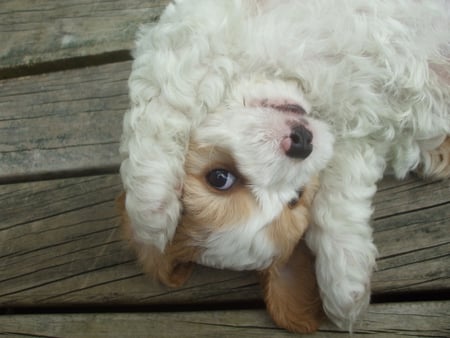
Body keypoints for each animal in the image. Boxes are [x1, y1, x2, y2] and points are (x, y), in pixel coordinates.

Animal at [120, 0, 450, 332]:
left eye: (220, 177)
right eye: (296, 196)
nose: (302, 144)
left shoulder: (190, 29)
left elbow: (161, 103)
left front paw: (151, 211)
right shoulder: (356, 144)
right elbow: (338, 205)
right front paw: (346, 285)